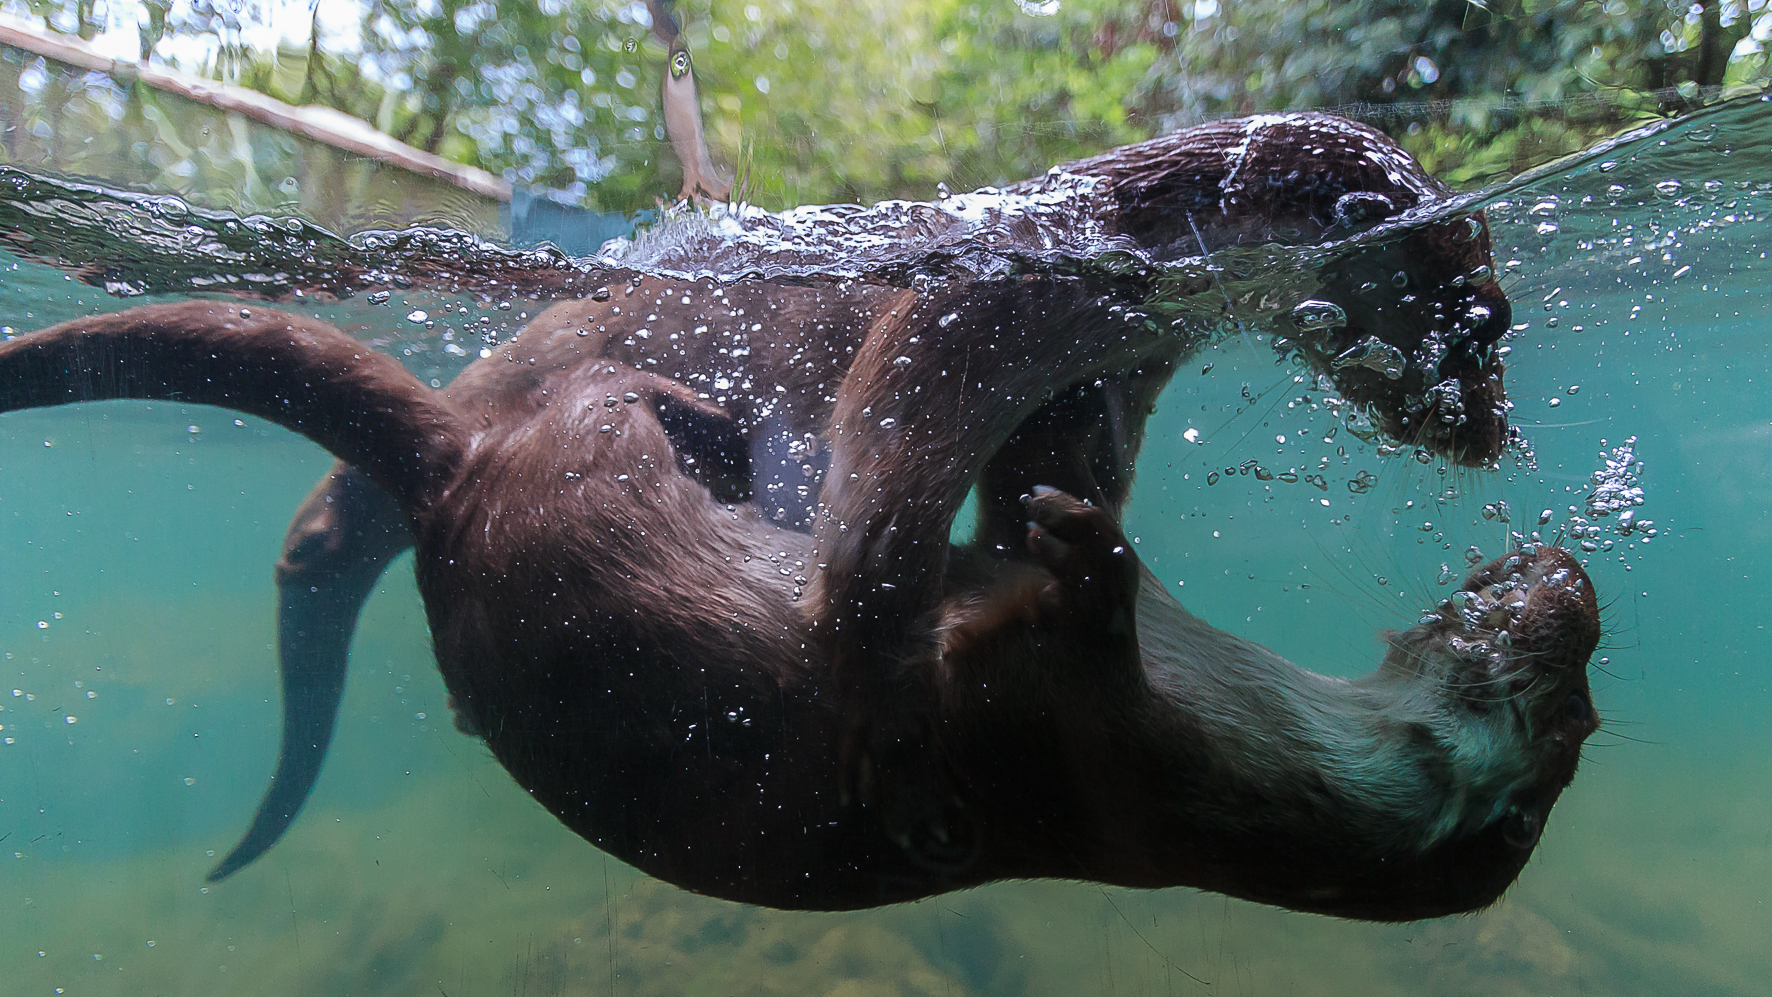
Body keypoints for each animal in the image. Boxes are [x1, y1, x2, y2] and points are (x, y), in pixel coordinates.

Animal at [0, 114, 1598, 920]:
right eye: (1487, 321)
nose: (1493, 428)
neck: (1107, 258)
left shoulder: (1092, 380)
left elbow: (1044, 484)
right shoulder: (966, 321)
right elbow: (882, 503)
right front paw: (887, 711)